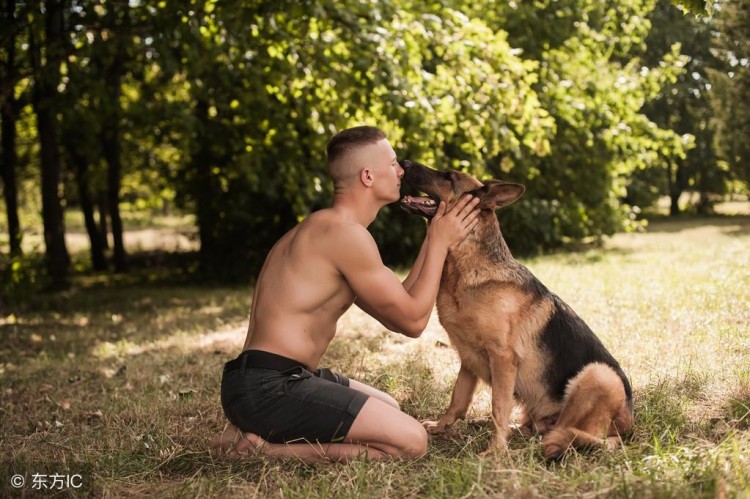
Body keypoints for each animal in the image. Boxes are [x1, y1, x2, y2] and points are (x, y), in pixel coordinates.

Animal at [400, 160, 636, 460]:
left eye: (448, 176)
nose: (404, 162)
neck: (467, 267)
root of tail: (627, 427)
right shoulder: (468, 360)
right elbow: (457, 399)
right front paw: (443, 427)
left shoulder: (503, 358)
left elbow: (498, 406)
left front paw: (495, 451)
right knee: (541, 429)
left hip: (599, 375)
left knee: (567, 433)